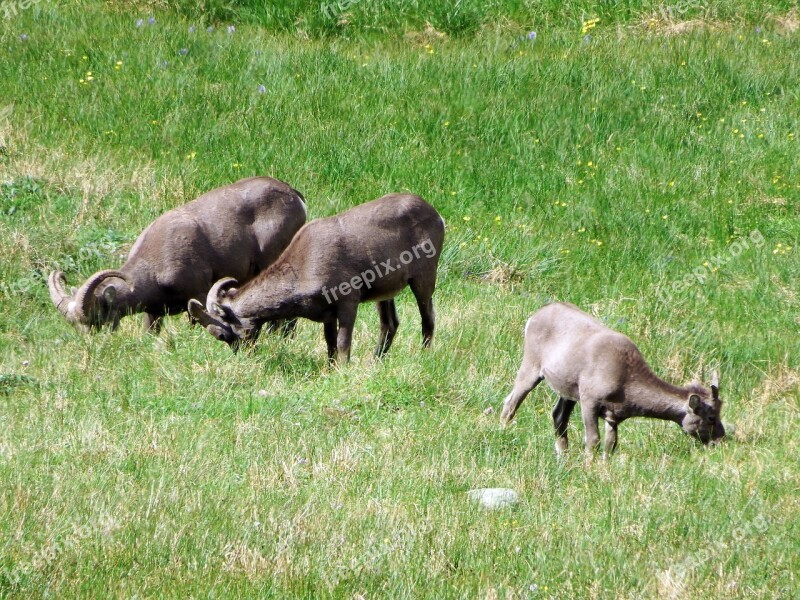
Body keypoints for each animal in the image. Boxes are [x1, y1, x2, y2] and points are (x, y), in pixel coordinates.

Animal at [191, 193, 446, 360]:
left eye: (224, 334)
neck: (303, 269)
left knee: (428, 319)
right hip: (385, 295)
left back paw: (424, 357)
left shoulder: (347, 305)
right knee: (389, 325)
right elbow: (330, 345)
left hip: (422, 280)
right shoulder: (327, 317)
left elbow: (342, 345)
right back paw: (376, 361)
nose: (245, 358)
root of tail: (436, 215)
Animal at [504, 302, 728, 458]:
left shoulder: (612, 417)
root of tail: (534, 317)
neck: (625, 380)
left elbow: (610, 445)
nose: (720, 440)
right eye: (711, 417)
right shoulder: (589, 401)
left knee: (558, 416)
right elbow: (593, 440)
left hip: (567, 392)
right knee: (510, 403)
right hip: (531, 368)